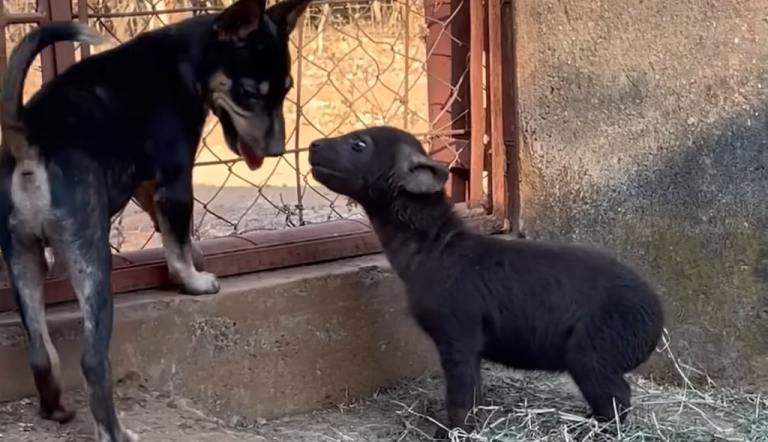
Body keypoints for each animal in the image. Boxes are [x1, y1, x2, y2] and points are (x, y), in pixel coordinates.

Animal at [0, 1, 312, 440]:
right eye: (249, 93)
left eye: (286, 89)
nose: (276, 151)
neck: (187, 58)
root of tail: (28, 143)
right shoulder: (175, 179)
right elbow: (176, 241)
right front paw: (195, 281)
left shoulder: (149, 184)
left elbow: (170, 229)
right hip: (89, 260)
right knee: (93, 362)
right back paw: (114, 433)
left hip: (22, 256)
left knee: (41, 353)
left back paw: (56, 410)